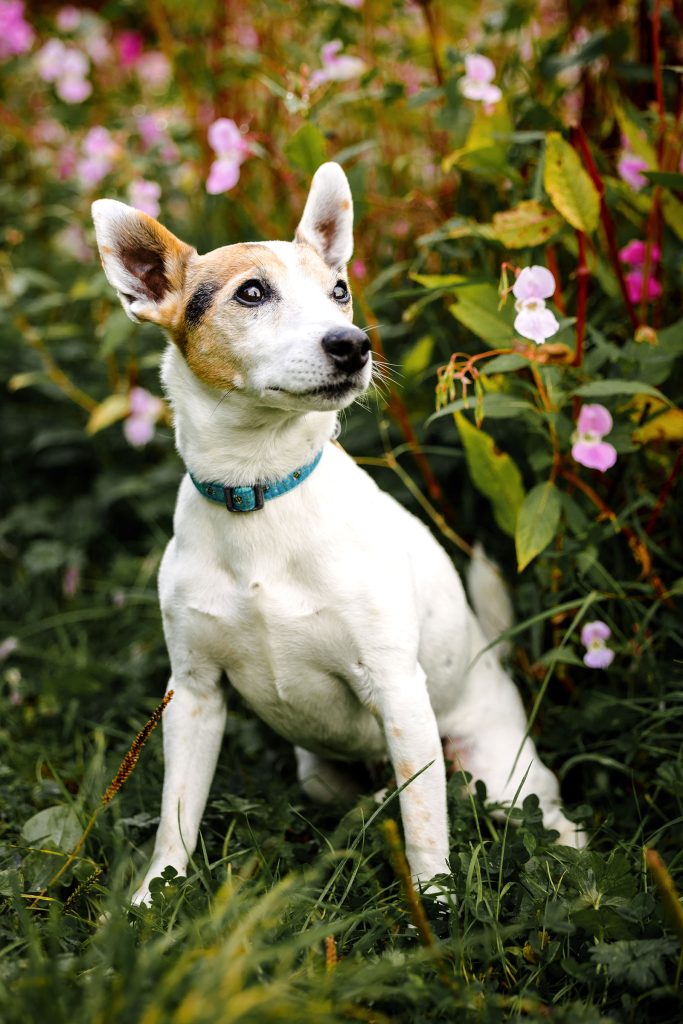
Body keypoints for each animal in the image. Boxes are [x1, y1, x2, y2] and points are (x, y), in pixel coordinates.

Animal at [90, 159, 581, 905]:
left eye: (339, 291)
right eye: (252, 292)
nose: (353, 344)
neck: (258, 491)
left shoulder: (399, 692)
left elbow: (425, 823)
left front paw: (437, 906)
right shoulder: (192, 696)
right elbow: (176, 818)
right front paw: (153, 898)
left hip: (499, 775)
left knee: (530, 813)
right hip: (318, 774)